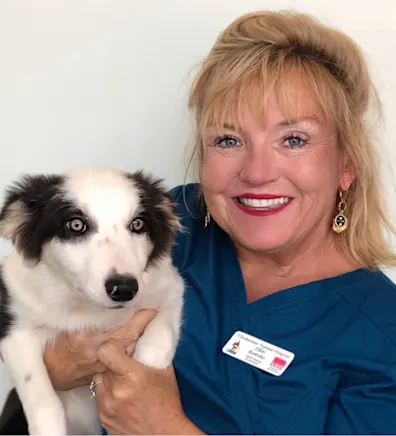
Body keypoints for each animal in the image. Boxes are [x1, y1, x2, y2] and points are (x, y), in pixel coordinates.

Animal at [0, 165, 184, 434]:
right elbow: (42, 399)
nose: (124, 289)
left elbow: (161, 332)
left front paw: (145, 369)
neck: (86, 306)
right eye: (76, 224)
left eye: (138, 224)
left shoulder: (172, 286)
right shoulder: (15, 331)